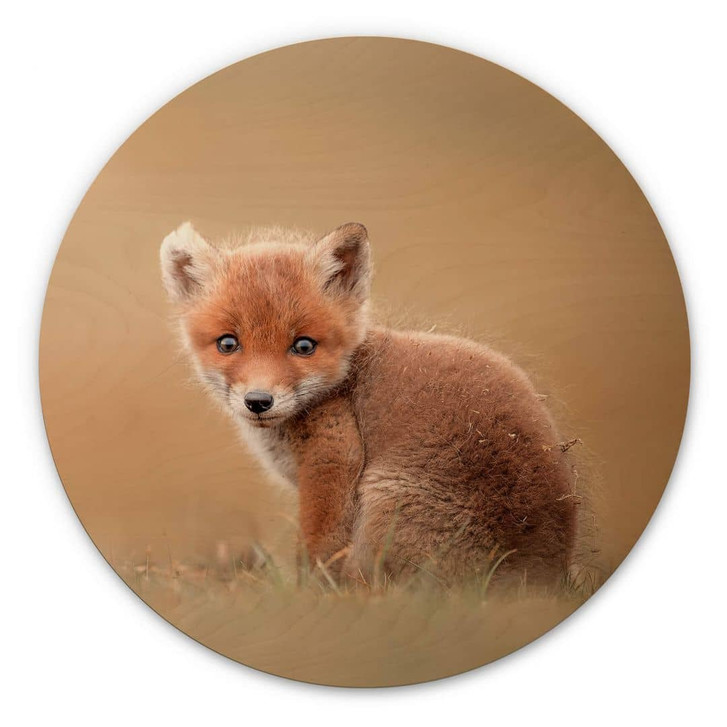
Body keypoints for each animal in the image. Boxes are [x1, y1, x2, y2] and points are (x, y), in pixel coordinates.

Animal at [160, 221, 578, 586]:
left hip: (383, 502)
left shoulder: (333, 459)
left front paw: (308, 599)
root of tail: (543, 575)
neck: (343, 381)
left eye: (304, 346)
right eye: (228, 343)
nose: (259, 401)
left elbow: (318, 551)